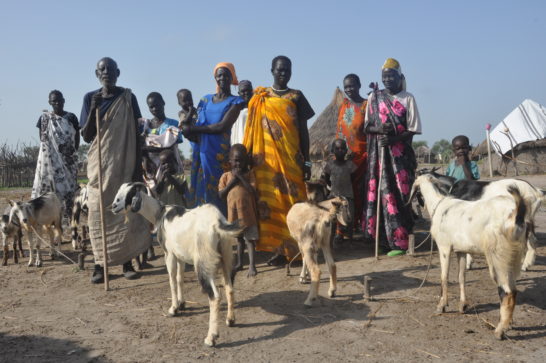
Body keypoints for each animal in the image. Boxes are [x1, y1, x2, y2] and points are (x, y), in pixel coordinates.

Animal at [110, 183, 242, 348]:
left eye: (129, 194)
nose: (114, 206)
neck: (160, 213)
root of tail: (217, 223)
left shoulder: (170, 254)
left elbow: (172, 280)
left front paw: (173, 309)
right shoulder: (181, 256)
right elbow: (180, 279)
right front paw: (182, 303)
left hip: (203, 262)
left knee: (215, 296)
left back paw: (211, 337)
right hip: (226, 256)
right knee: (229, 288)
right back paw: (230, 320)